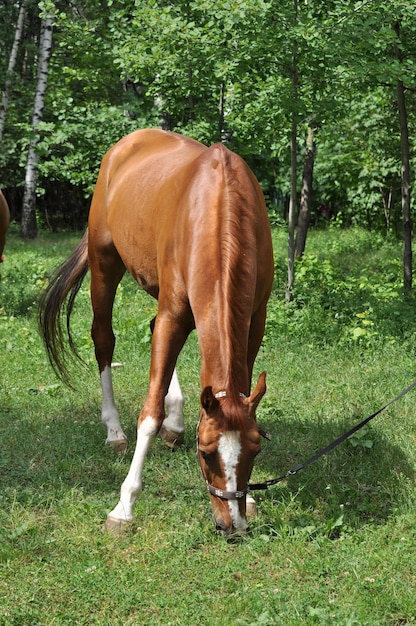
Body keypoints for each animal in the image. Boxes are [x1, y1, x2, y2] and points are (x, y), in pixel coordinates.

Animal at [38, 129, 272, 532]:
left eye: (256, 448)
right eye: (205, 452)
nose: (232, 525)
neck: (220, 208)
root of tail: (126, 144)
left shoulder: (254, 320)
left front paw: (252, 498)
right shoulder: (173, 314)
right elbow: (149, 414)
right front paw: (124, 505)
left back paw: (175, 422)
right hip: (105, 266)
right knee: (104, 339)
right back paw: (114, 430)